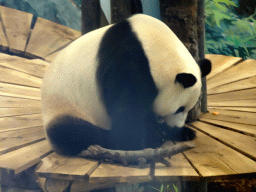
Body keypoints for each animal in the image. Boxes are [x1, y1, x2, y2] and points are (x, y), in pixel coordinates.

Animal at [41, 14, 211, 156]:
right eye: (180, 109)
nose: (176, 126)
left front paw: (172, 132)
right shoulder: (126, 61)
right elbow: (128, 108)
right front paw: (140, 142)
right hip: (66, 107)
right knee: (71, 132)